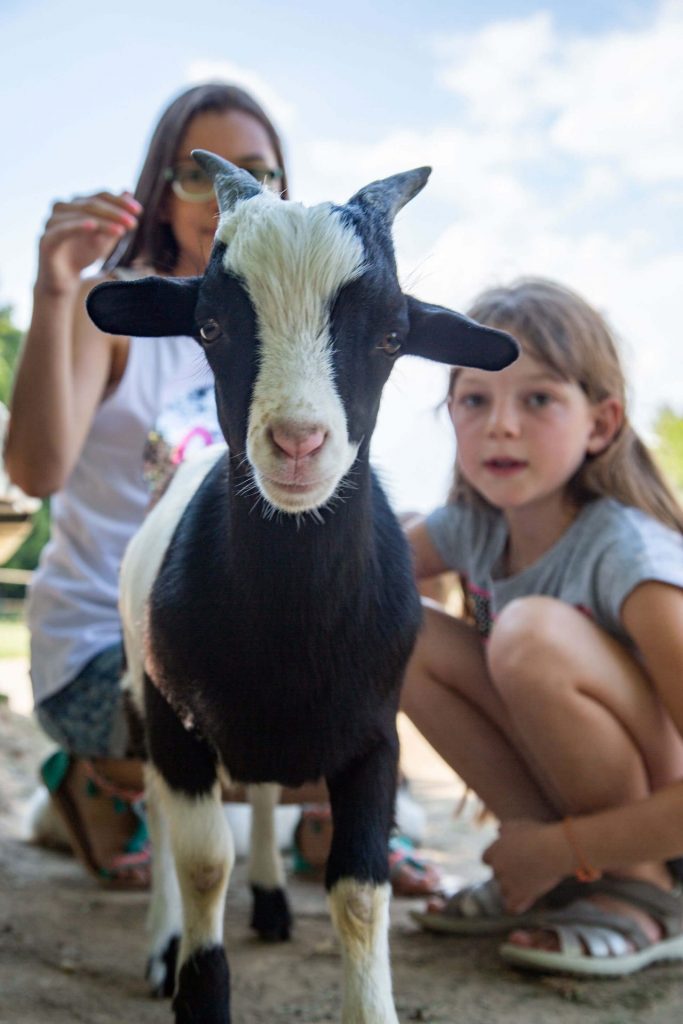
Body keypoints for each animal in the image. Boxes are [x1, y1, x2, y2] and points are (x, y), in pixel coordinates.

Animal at [87, 153, 518, 1024]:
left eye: (391, 335)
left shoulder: (375, 734)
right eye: (210, 327)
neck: (291, 627)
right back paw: (162, 943)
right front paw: (194, 984)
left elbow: (358, 891)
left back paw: (270, 898)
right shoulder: (177, 719)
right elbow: (201, 864)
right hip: (142, 693)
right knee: (164, 818)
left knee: (257, 794)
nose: (296, 442)